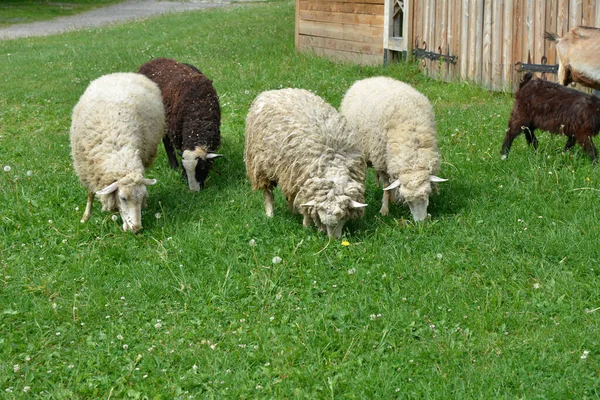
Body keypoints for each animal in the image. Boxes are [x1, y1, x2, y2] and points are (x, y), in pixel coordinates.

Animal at [69, 73, 165, 233]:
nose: (136, 228)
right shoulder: (87, 169)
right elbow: (90, 194)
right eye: (123, 198)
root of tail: (122, 73)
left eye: (142, 197)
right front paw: (85, 216)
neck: (118, 153)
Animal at [138, 56, 223, 192]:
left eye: (202, 168)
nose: (195, 191)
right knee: (166, 142)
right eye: (185, 169)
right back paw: (173, 165)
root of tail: (154, 60)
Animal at [243, 88, 366, 238]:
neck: (333, 162)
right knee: (268, 193)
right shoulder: (304, 183)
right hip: (260, 165)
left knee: (289, 195)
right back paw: (270, 214)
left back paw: (292, 211)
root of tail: (273, 91)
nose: (333, 240)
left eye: (342, 217)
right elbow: (306, 208)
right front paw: (306, 226)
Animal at [338, 75, 446, 222]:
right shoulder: (382, 162)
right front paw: (384, 210)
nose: (421, 222)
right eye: (408, 200)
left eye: (428, 193)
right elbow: (386, 187)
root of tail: (370, 78)